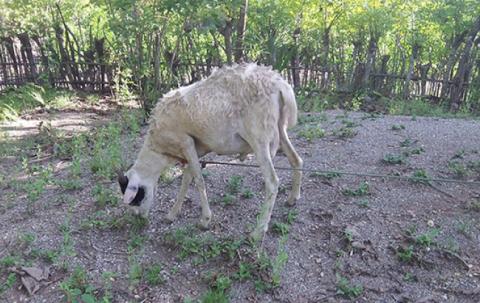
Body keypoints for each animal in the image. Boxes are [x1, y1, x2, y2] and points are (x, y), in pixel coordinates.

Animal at [117, 63, 302, 240]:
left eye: (135, 199)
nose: (139, 219)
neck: (159, 149)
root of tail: (280, 83)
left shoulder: (185, 142)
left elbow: (199, 180)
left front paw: (205, 220)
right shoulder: (195, 149)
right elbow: (187, 178)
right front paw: (172, 214)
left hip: (259, 136)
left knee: (272, 182)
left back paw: (258, 231)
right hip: (280, 127)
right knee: (296, 160)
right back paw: (292, 198)